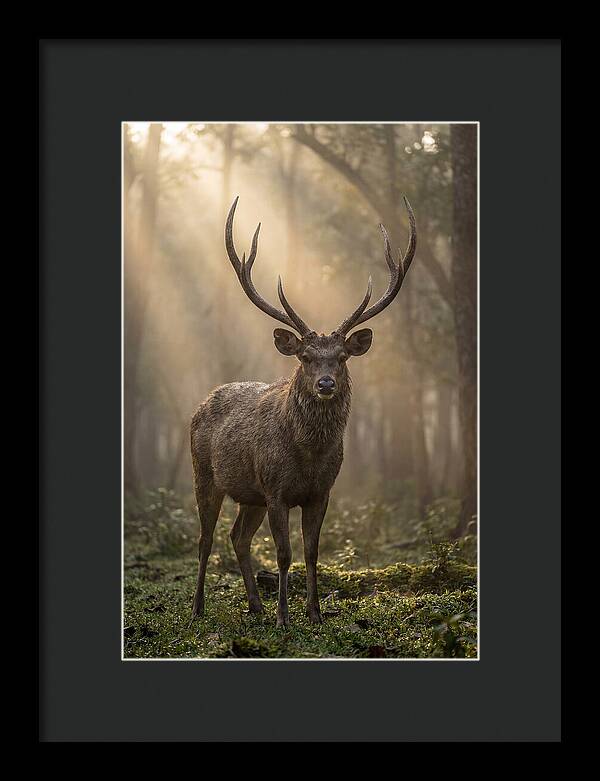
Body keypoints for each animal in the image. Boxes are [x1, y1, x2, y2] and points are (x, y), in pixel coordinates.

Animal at [190, 195, 416, 627]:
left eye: (342, 357)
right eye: (306, 357)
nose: (325, 384)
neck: (308, 457)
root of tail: (201, 403)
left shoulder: (321, 492)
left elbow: (311, 552)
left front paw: (314, 613)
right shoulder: (276, 489)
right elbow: (284, 554)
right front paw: (284, 618)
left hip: (250, 494)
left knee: (238, 537)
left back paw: (255, 605)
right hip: (205, 475)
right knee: (206, 539)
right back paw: (198, 609)